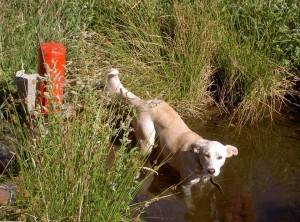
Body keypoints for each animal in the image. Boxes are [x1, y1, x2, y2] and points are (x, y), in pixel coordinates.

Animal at [106, 68, 238, 194]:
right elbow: (189, 201)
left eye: (220, 157)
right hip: (146, 142)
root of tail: (142, 102)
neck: (198, 161)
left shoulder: (203, 183)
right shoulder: (185, 185)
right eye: (207, 155)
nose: (211, 170)